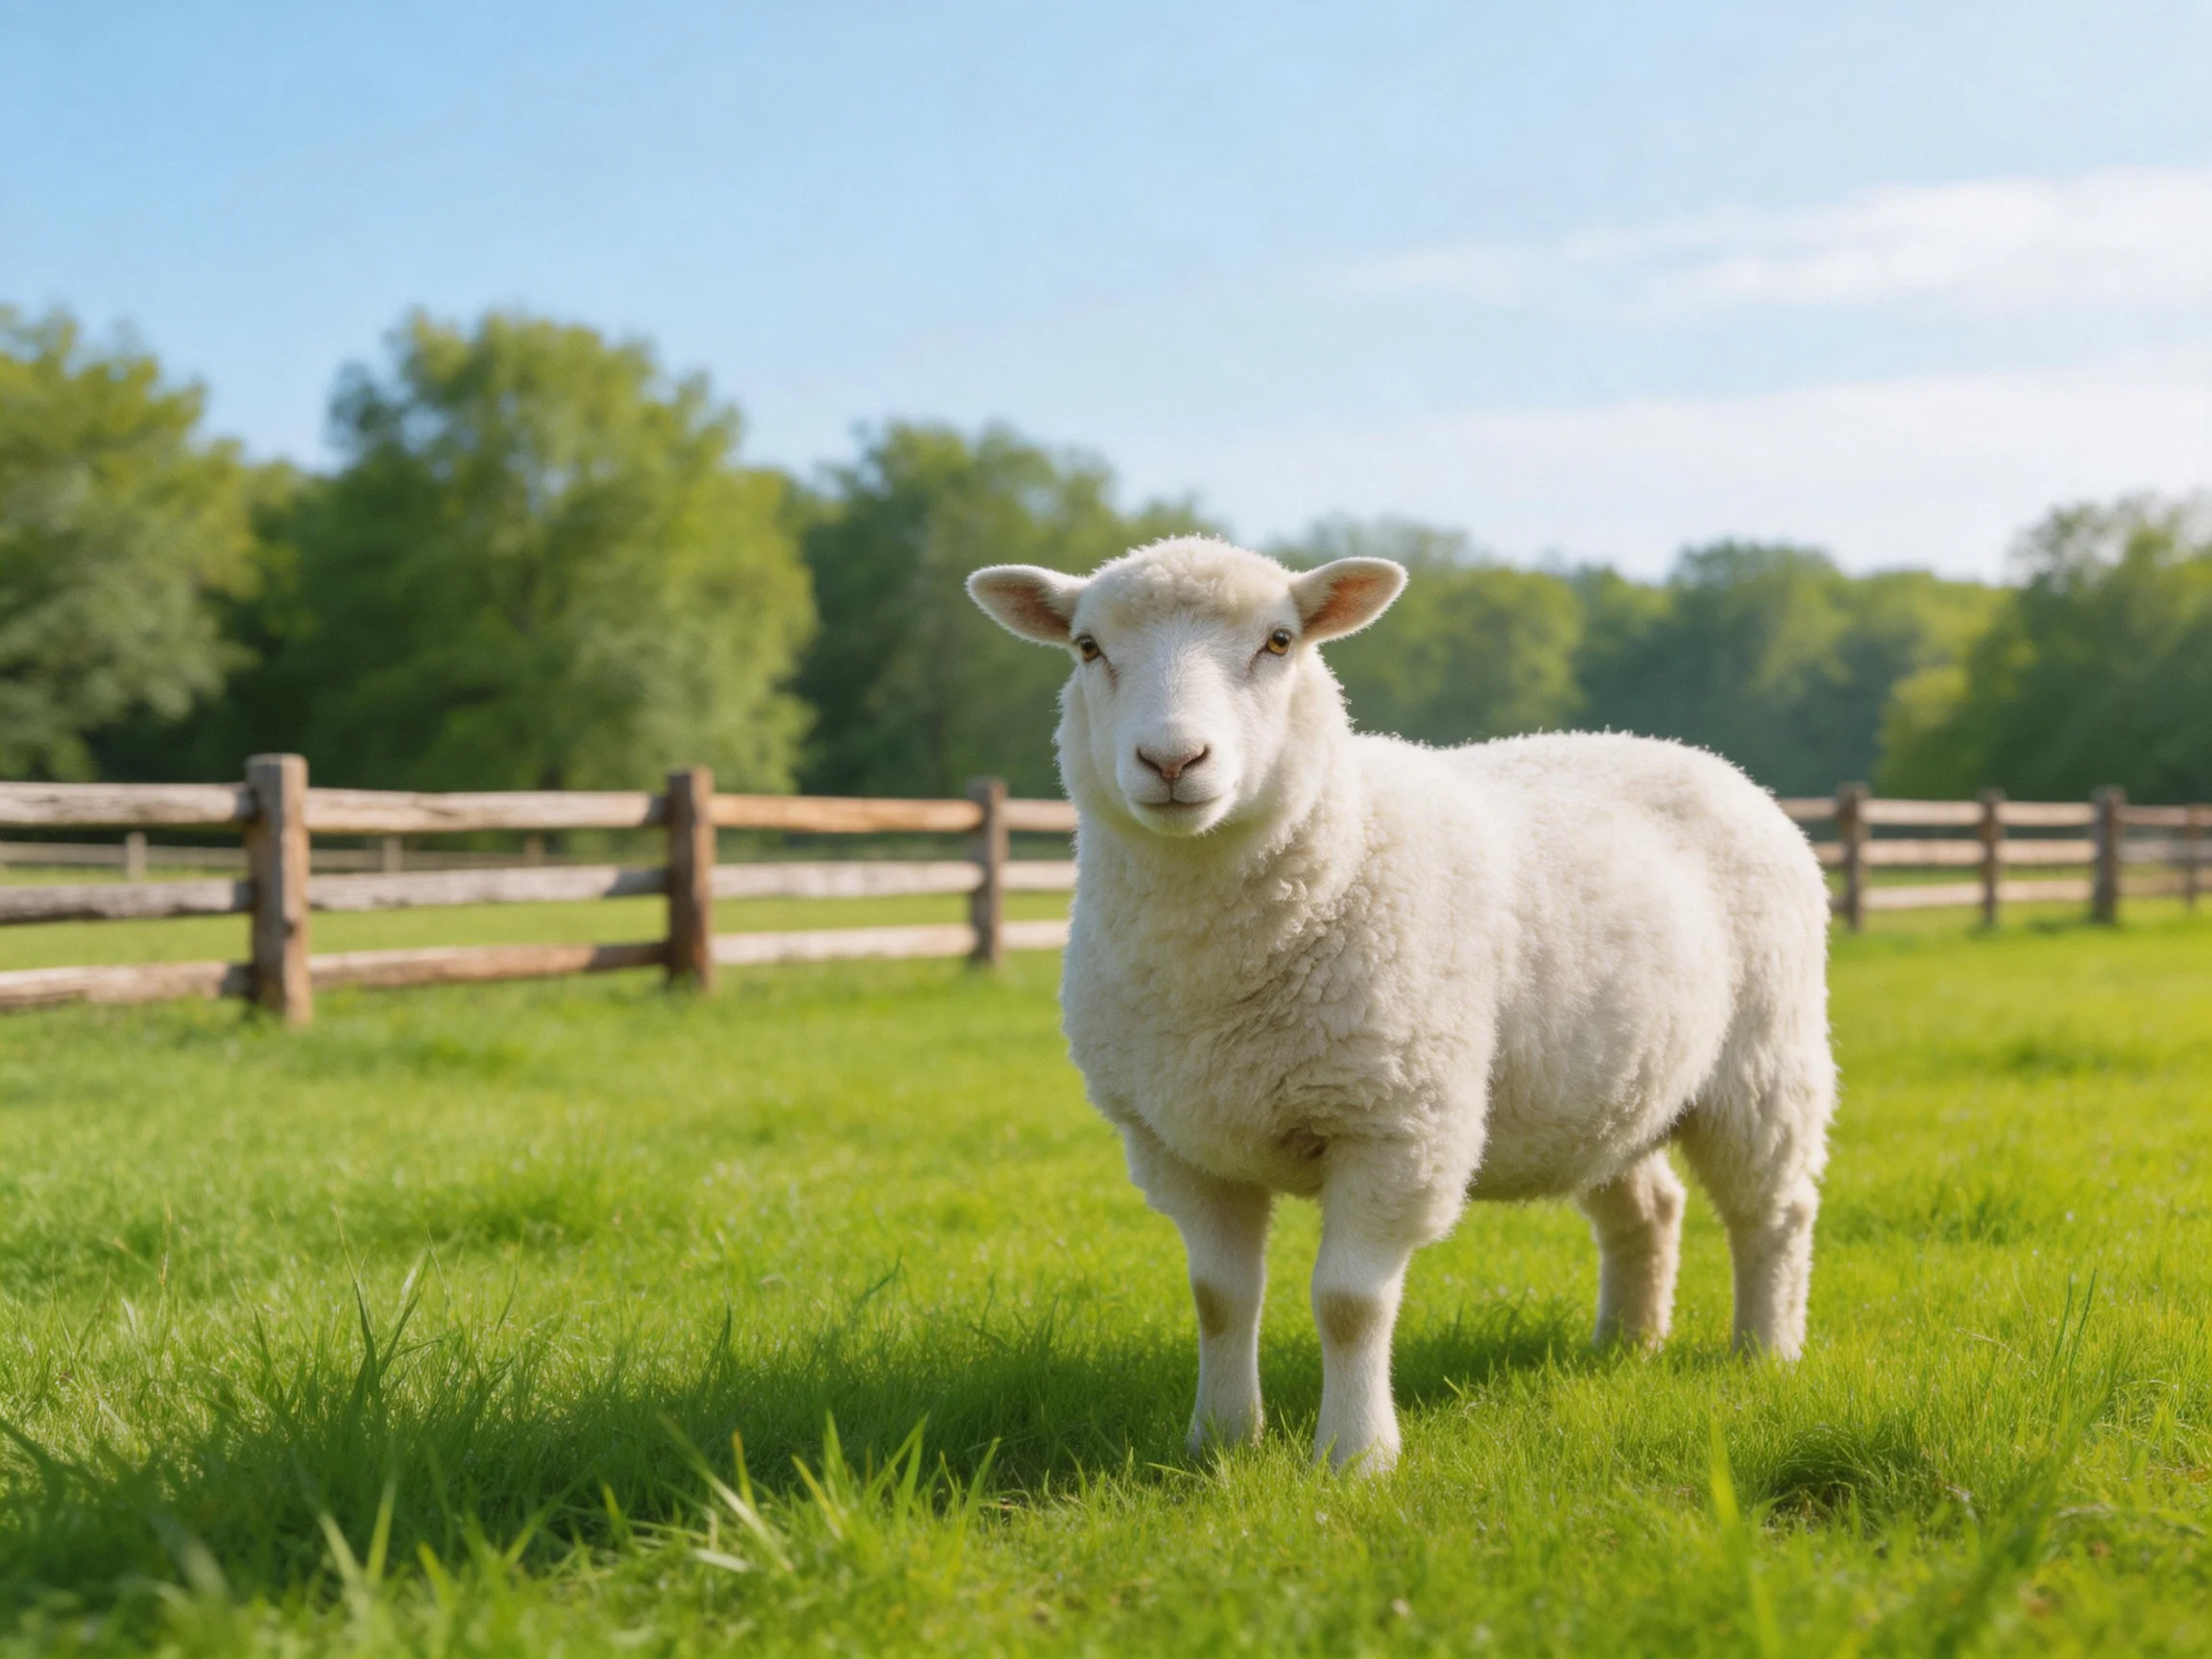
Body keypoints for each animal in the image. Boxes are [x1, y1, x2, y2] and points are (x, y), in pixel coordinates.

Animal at [967, 535, 1835, 1473]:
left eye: (1280, 641)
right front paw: (1220, 1441)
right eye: (1087, 647)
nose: (1171, 762)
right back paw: (1626, 1344)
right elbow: (1219, 1298)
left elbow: (1349, 1304)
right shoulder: (1179, 1143)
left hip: (1765, 1058)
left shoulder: (1396, 1124)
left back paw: (1764, 1353)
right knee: (1648, 1208)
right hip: (1603, 1082)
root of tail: (1698, 755)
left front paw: (1355, 1458)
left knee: (1774, 1211)